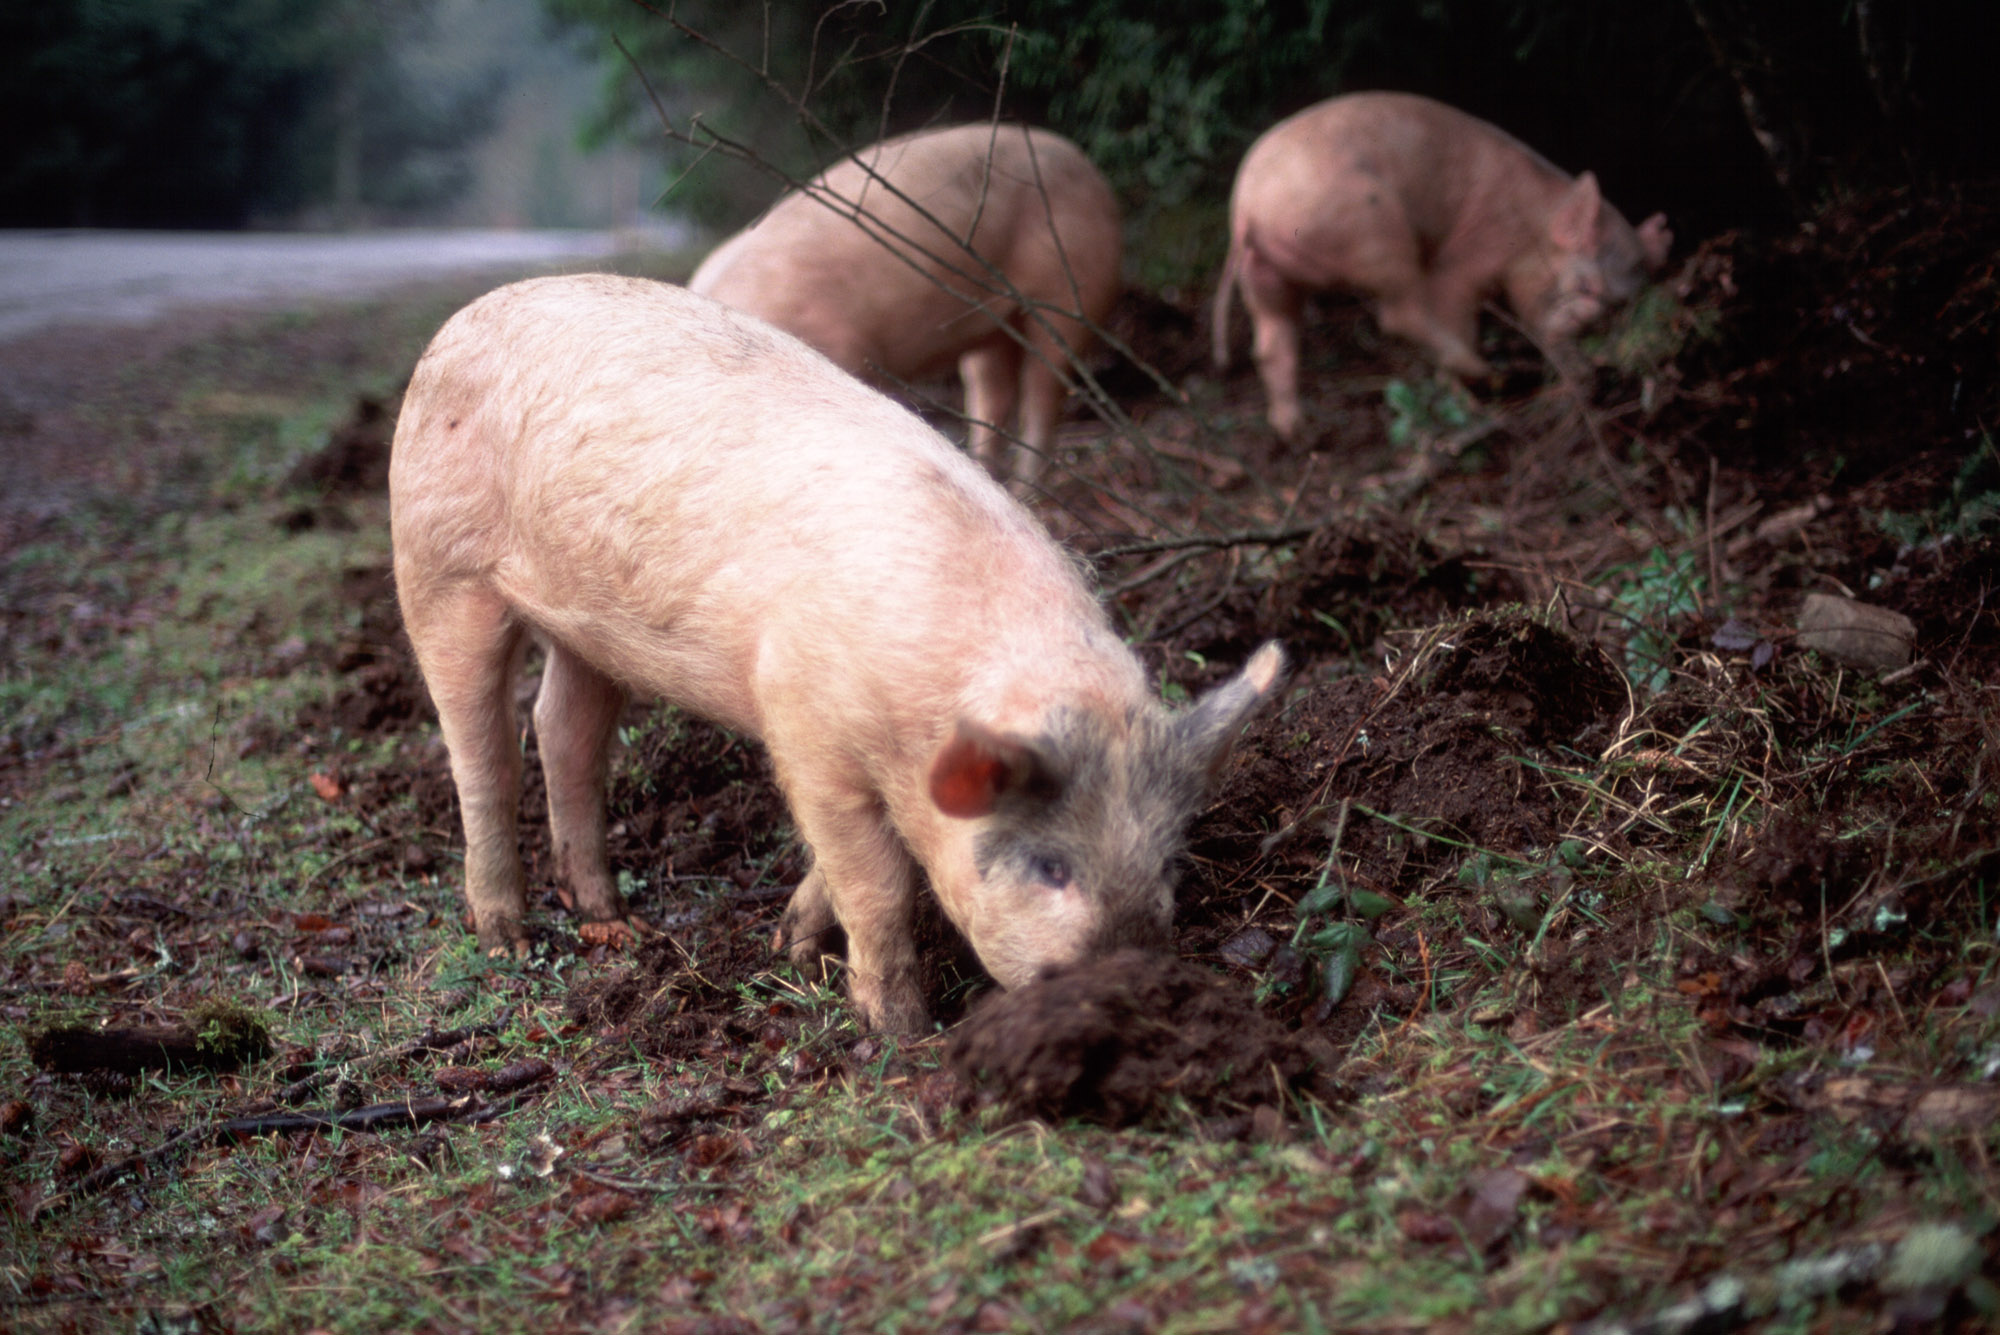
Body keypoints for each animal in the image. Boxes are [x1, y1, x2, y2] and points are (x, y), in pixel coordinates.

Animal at [388, 274, 1282, 1034]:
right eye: (1049, 866)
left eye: (1168, 861)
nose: (1133, 984)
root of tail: (459, 321)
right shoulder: (805, 725)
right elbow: (876, 882)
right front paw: (901, 1032)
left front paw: (790, 942)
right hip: (436, 564)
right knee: (483, 754)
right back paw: (507, 937)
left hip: (589, 629)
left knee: (565, 730)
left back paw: (614, 921)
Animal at [688, 123, 1122, 484]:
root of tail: (1088, 165)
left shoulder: (848, 348)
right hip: (989, 326)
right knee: (992, 393)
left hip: (1072, 288)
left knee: (1043, 394)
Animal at [1212, 92, 1673, 441]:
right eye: (1585, 287)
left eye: (1622, 306)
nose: (1590, 367)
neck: (1532, 226)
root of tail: (1247, 209)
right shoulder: (1472, 252)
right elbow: (1456, 304)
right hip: (1374, 229)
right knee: (1398, 314)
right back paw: (1486, 375)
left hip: (1266, 271)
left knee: (1273, 340)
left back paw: (1298, 432)